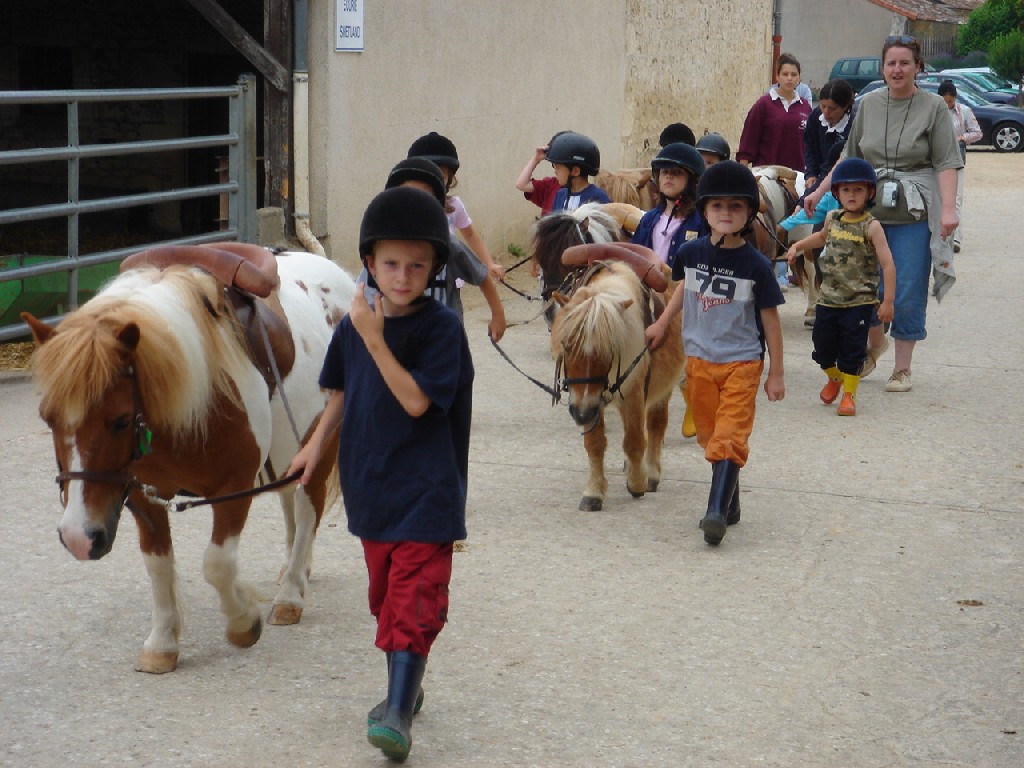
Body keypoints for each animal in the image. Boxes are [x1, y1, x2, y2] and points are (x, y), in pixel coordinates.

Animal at [23, 244, 356, 671]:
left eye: (120, 420)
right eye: (47, 417)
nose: (79, 537)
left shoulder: (234, 488)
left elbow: (217, 565)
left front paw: (243, 623)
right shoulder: (142, 496)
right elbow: (158, 566)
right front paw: (163, 643)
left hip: (322, 444)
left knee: (307, 505)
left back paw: (291, 594)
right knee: (291, 504)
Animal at [548, 249, 684, 512]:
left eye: (609, 350)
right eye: (567, 346)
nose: (580, 413)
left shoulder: (633, 395)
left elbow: (634, 441)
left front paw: (637, 482)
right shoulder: (590, 401)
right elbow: (595, 444)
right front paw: (594, 492)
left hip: (660, 392)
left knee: (655, 425)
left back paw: (651, 473)